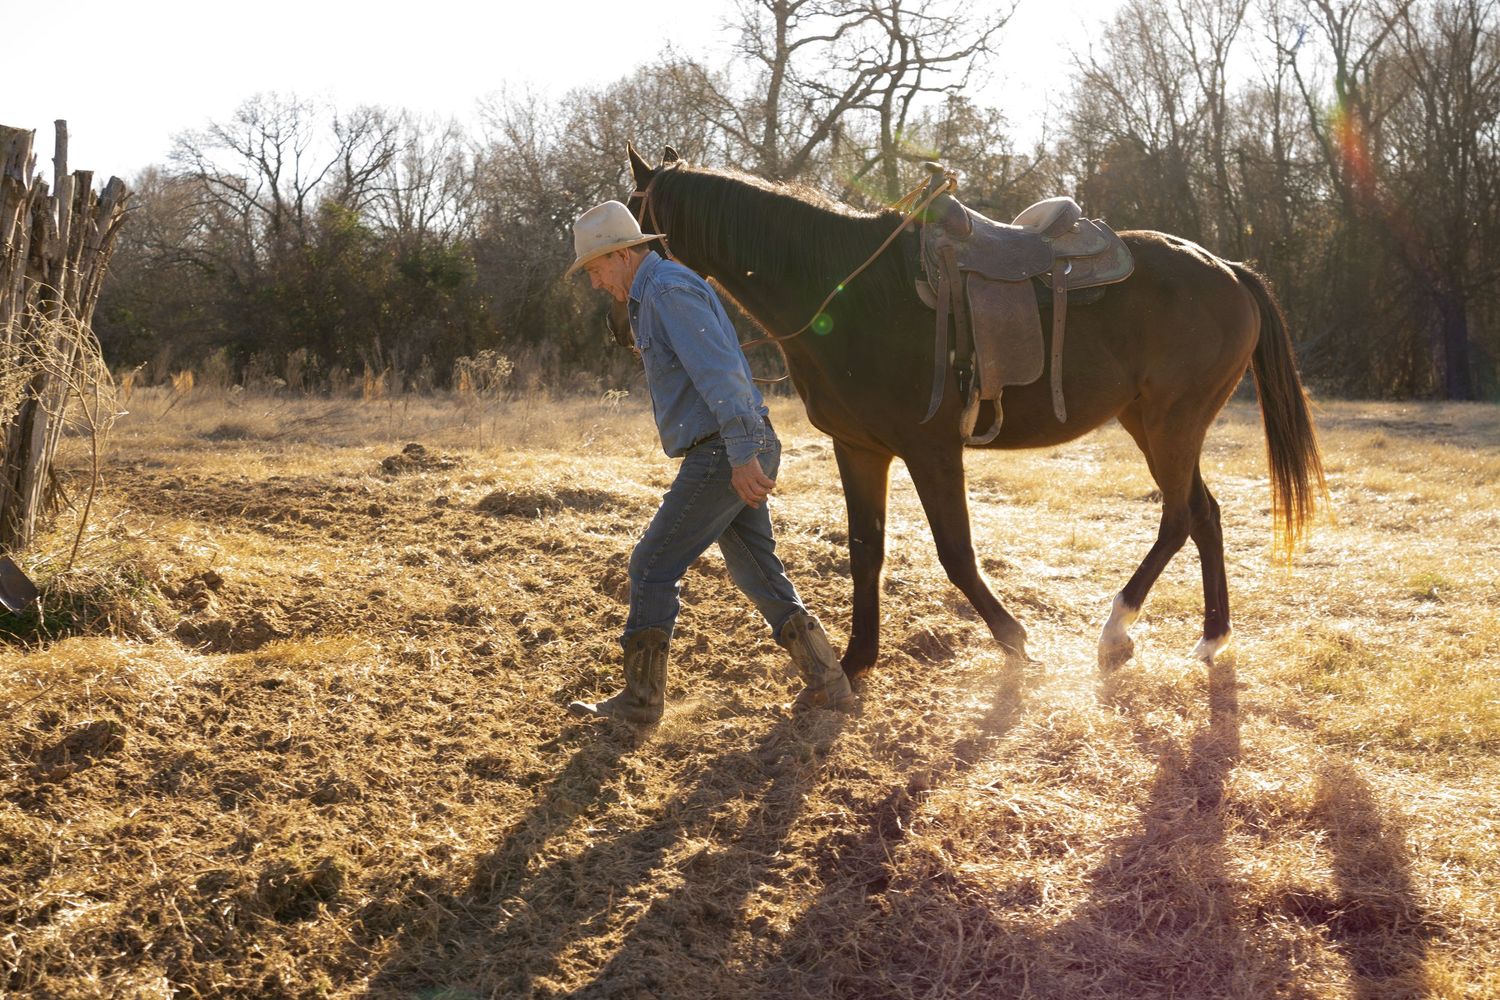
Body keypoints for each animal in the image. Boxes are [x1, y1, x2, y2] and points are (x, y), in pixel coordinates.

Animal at [617, 145, 1324, 678]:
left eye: (636, 218)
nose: (622, 314)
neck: (846, 291)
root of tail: (1226, 267)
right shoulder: (860, 448)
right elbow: (865, 550)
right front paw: (856, 659)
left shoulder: (931, 450)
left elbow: (955, 553)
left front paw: (1014, 638)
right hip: (1151, 423)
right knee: (1205, 515)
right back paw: (1211, 637)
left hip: (1172, 423)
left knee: (1178, 518)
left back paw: (1115, 630)